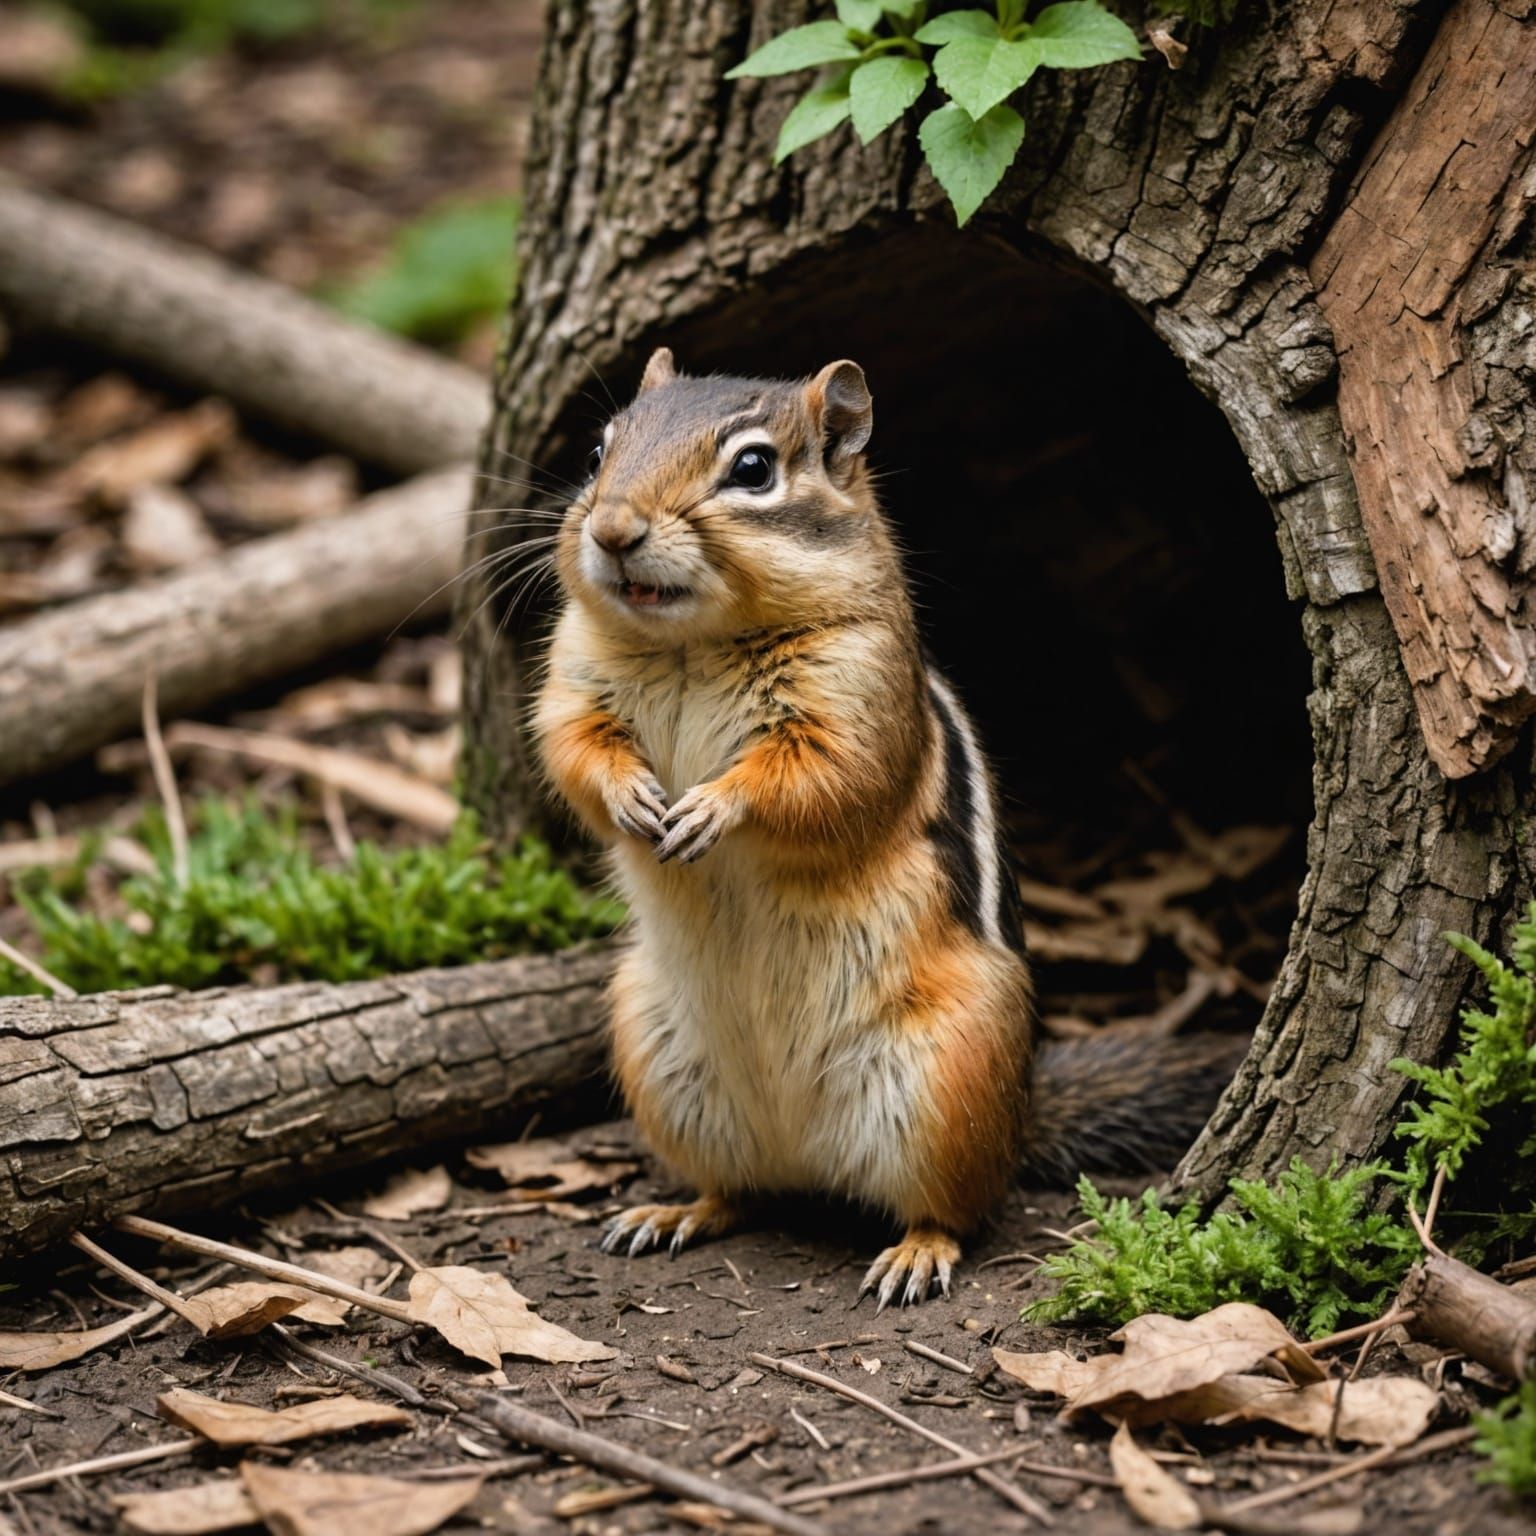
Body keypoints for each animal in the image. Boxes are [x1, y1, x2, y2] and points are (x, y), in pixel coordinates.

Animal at [532, 348, 1244, 1309]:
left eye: (753, 469)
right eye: (600, 449)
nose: (610, 528)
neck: (690, 644)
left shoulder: (856, 697)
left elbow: (823, 780)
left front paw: (713, 805)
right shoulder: (574, 677)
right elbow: (572, 749)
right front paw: (633, 800)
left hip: (949, 1072)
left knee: (956, 1206)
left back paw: (916, 1251)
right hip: (654, 1043)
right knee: (742, 1192)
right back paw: (677, 1211)